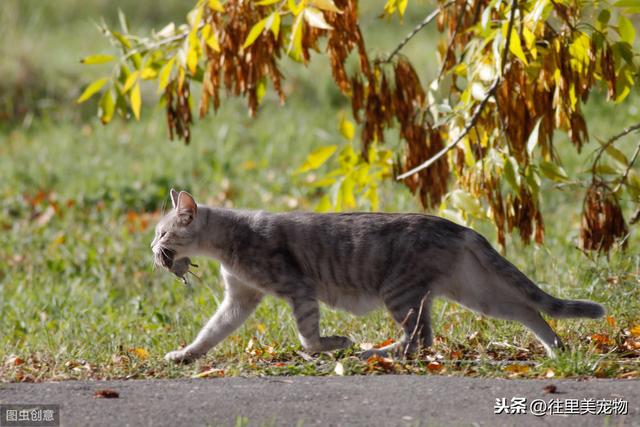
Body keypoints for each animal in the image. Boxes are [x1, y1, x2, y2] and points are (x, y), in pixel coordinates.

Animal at [151, 189, 604, 362]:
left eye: (162, 232)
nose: (153, 252)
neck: (230, 241)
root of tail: (455, 226)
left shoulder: (298, 289)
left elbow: (308, 335)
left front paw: (333, 344)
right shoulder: (239, 299)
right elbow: (210, 332)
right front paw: (184, 355)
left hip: (401, 292)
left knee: (418, 339)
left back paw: (372, 352)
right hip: (472, 293)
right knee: (525, 311)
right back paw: (555, 348)